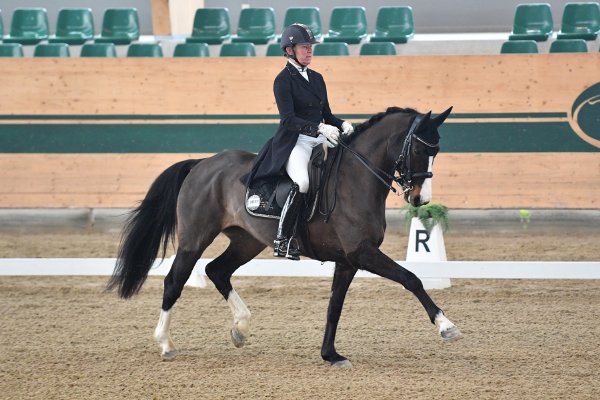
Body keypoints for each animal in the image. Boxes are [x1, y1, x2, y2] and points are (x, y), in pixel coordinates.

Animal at [109, 104, 464, 368]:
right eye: (417, 148)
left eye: (437, 151)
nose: (420, 199)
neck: (356, 179)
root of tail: (202, 164)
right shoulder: (362, 253)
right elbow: (411, 278)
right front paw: (446, 326)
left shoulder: (348, 260)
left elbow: (335, 306)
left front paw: (331, 355)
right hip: (195, 239)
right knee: (175, 281)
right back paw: (166, 344)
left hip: (246, 241)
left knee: (217, 270)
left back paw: (241, 328)